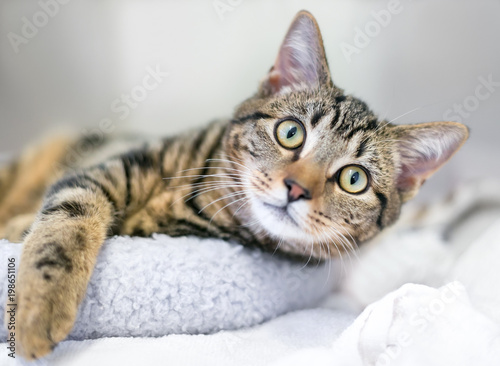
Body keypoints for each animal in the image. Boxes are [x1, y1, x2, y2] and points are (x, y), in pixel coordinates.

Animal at [0, 10, 468, 358]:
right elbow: (66, 223)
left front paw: (36, 307)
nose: (296, 188)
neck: (200, 196)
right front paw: (40, 305)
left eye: (354, 179)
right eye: (291, 132)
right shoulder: (106, 170)